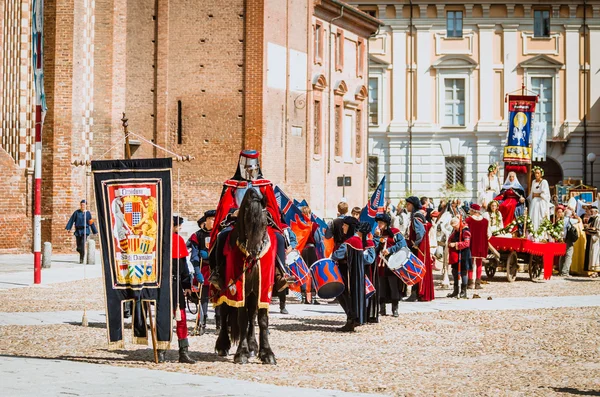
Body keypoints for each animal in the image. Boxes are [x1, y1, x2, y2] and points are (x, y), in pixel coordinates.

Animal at [214, 189, 278, 366]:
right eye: (246, 221)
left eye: (264, 223)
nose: (254, 252)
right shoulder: (238, 288)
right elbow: (241, 318)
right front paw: (241, 353)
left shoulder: (264, 288)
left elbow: (262, 319)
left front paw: (266, 353)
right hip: (225, 290)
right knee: (224, 312)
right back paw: (223, 345)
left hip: (252, 292)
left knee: (252, 315)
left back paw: (253, 345)